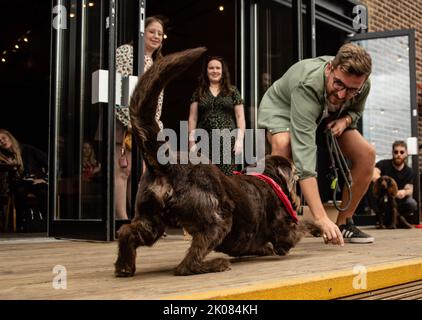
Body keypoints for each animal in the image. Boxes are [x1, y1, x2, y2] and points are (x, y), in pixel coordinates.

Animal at [113, 47, 322, 278]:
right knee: (187, 265)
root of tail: (169, 164)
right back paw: (216, 264)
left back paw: (124, 266)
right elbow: (303, 225)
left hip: (151, 219)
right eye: (295, 176)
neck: (269, 179)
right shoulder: (284, 232)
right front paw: (320, 228)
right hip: (217, 219)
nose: (298, 198)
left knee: (126, 231)